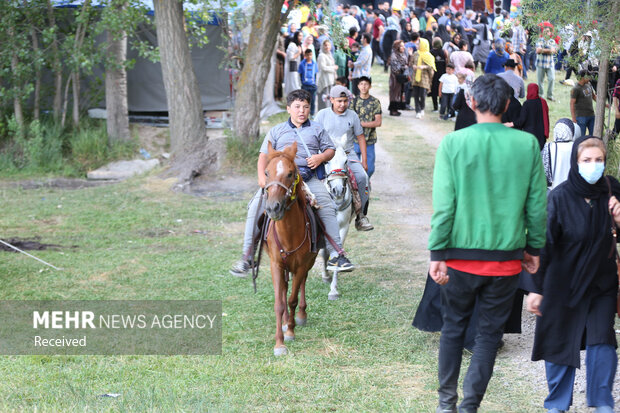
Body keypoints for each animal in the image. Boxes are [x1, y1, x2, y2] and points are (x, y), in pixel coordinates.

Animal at [264, 141, 318, 354]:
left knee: (301, 283)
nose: (273, 208)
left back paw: (300, 316)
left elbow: (292, 299)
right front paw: (280, 342)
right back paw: (288, 320)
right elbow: (279, 303)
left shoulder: (302, 264)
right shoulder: (276, 265)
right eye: (266, 172)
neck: (289, 234)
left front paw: (291, 332)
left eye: (290, 173)